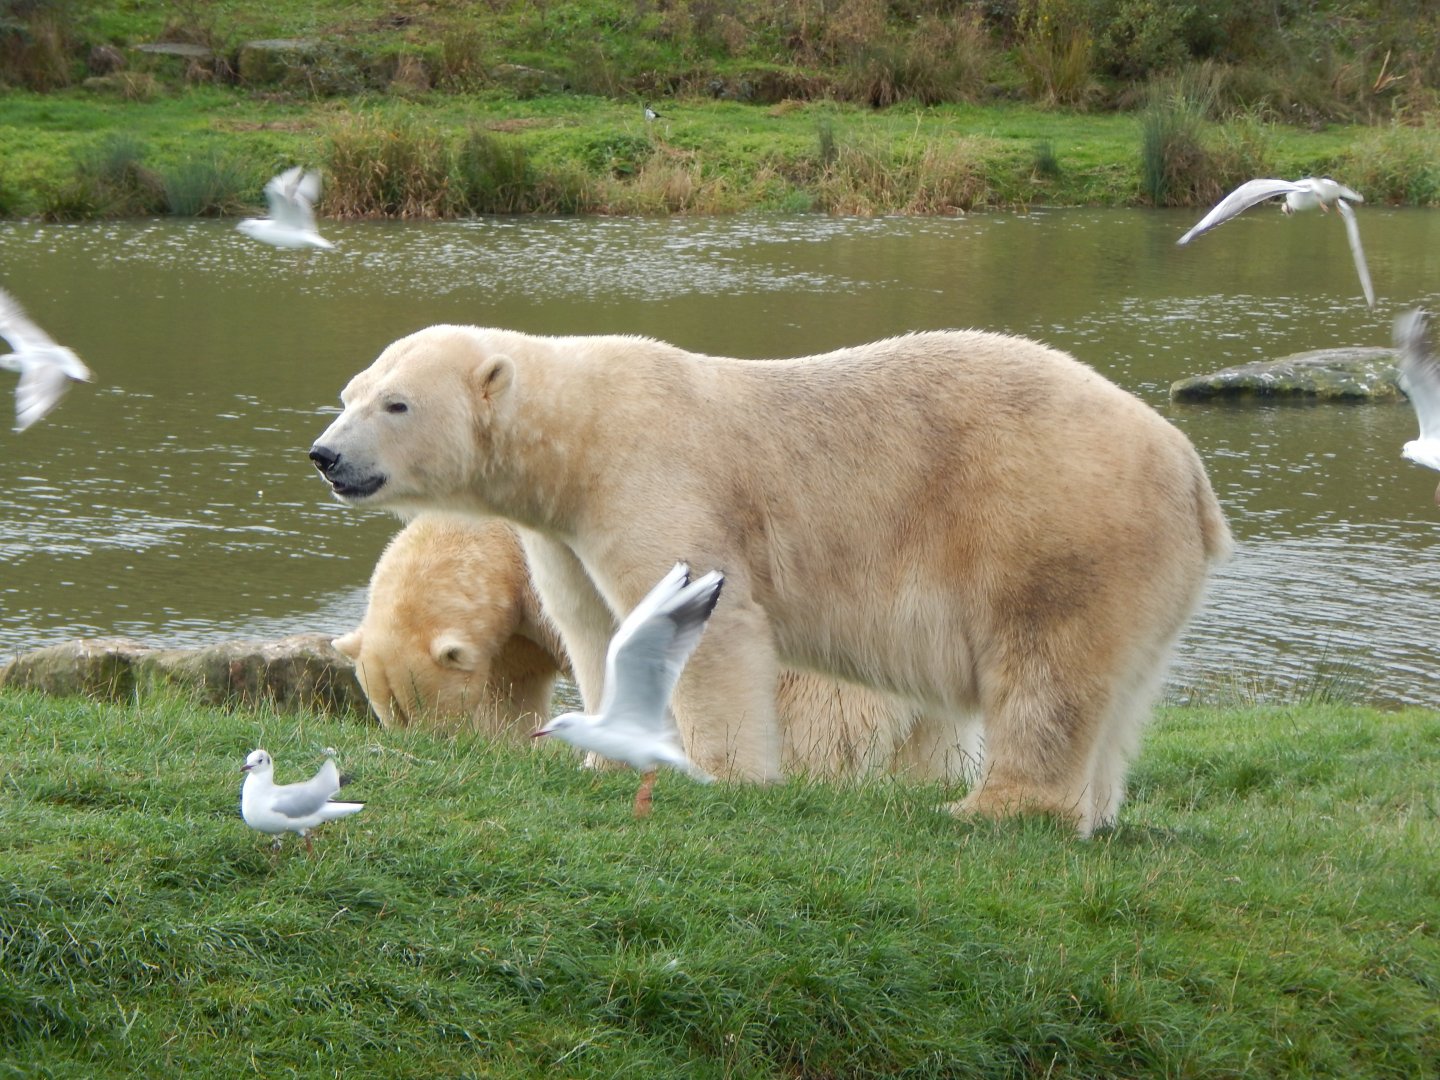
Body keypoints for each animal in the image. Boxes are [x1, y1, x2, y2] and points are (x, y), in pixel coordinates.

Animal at [338, 512, 974, 780]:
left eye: (430, 713)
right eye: (395, 715)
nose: (438, 746)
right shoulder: (519, 630)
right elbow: (513, 690)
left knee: (818, 733)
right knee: (937, 748)